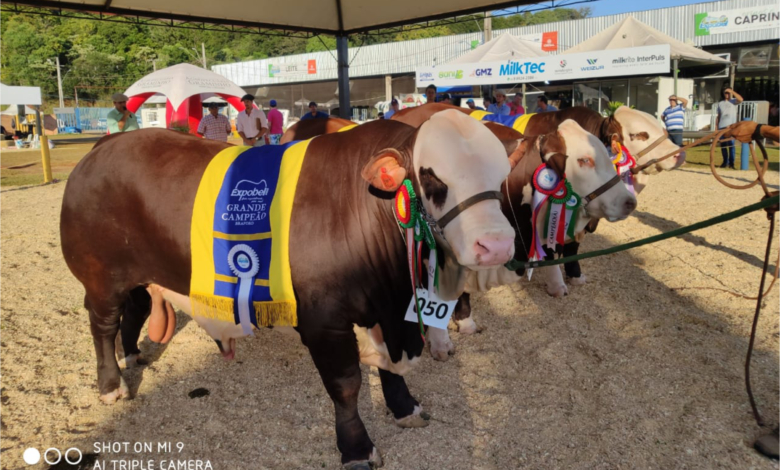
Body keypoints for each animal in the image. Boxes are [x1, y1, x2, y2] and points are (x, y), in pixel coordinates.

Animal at [60, 110, 520, 469]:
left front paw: (406, 408)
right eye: (432, 178)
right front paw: (357, 449)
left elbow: (389, 369)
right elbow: (346, 384)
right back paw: (111, 384)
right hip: (100, 278)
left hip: (140, 276)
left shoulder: (384, 310)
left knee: (134, 312)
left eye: (501, 177)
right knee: (102, 326)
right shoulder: (324, 321)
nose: (496, 245)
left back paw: (133, 356)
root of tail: (104, 146)